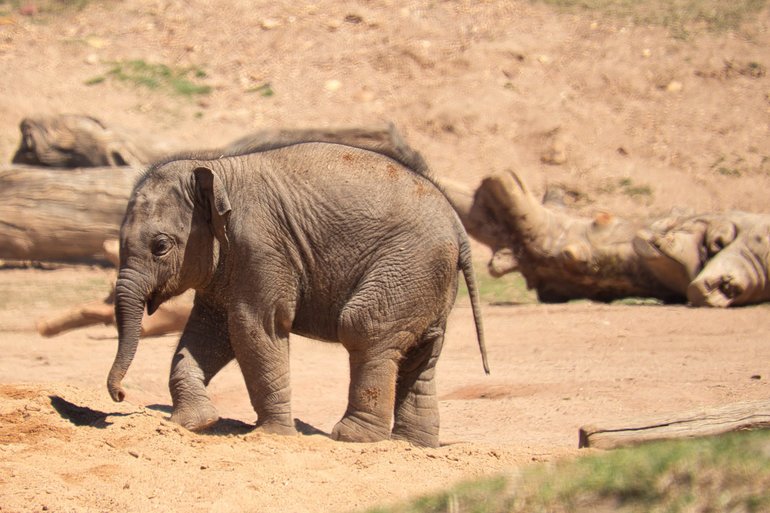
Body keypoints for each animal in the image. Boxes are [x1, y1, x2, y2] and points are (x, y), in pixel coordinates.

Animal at [108, 142, 486, 446]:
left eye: (160, 246)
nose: (120, 395)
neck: (216, 169)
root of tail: (458, 227)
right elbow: (208, 333)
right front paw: (192, 423)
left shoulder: (262, 246)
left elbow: (253, 328)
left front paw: (272, 435)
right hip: (428, 280)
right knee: (423, 353)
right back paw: (410, 445)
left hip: (409, 266)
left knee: (363, 328)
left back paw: (352, 437)